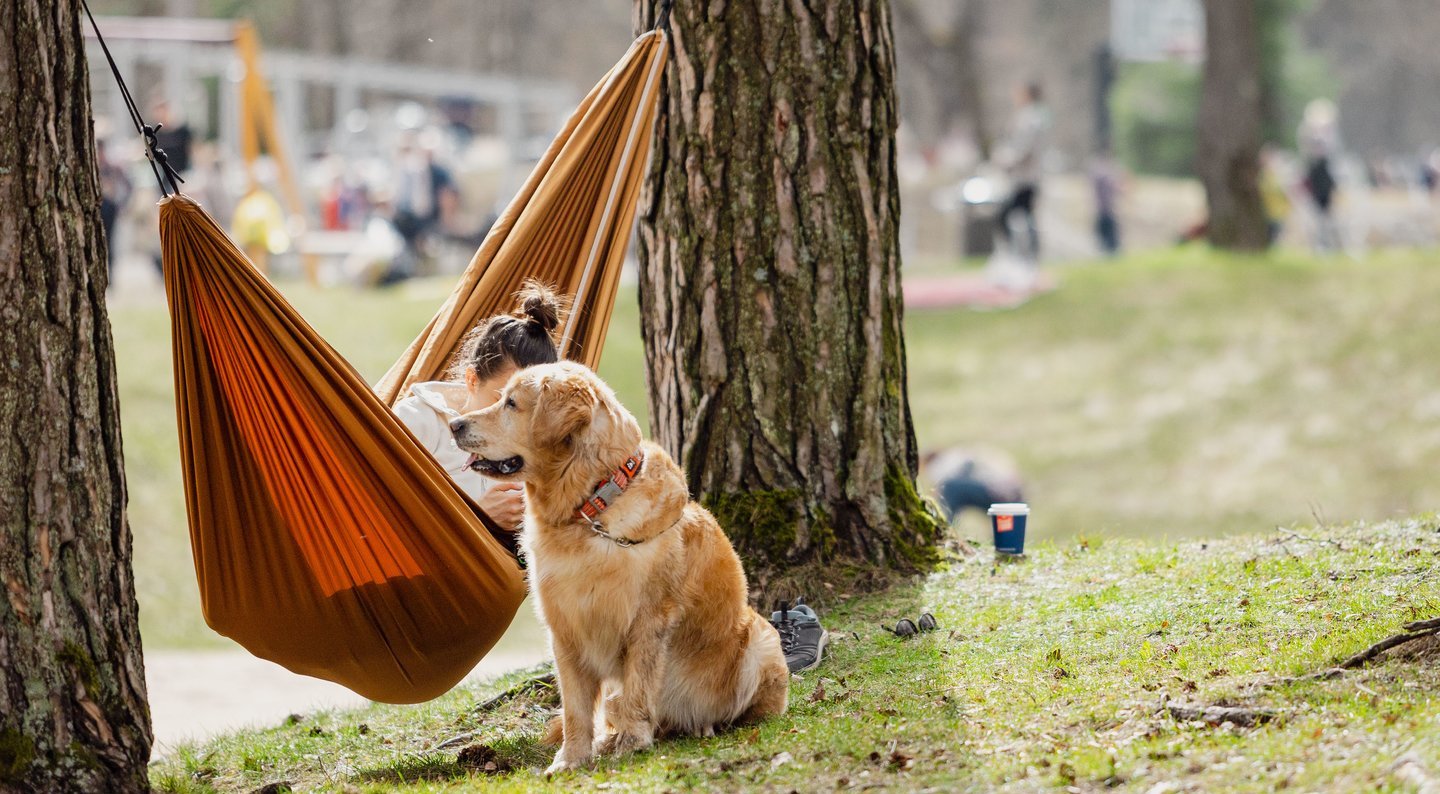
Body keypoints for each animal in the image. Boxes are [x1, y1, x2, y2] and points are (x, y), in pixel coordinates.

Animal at [449, 363, 789, 772]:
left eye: (512, 403)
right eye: (501, 397)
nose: (454, 424)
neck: (588, 508)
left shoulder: (649, 619)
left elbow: (637, 688)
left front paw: (631, 741)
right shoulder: (565, 627)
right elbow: (576, 709)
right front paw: (571, 759)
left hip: (760, 638)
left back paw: (703, 725)